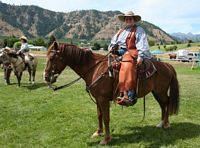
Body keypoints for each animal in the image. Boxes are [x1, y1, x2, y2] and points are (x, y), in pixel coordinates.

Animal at [43, 41, 180, 145]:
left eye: (52, 57)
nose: (46, 77)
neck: (94, 69)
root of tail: (167, 65)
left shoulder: (103, 99)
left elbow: (106, 118)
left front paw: (106, 139)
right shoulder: (97, 99)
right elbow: (99, 115)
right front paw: (98, 132)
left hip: (160, 91)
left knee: (167, 102)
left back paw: (167, 124)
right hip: (156, 92)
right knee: (163, 105)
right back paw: (161, 123)